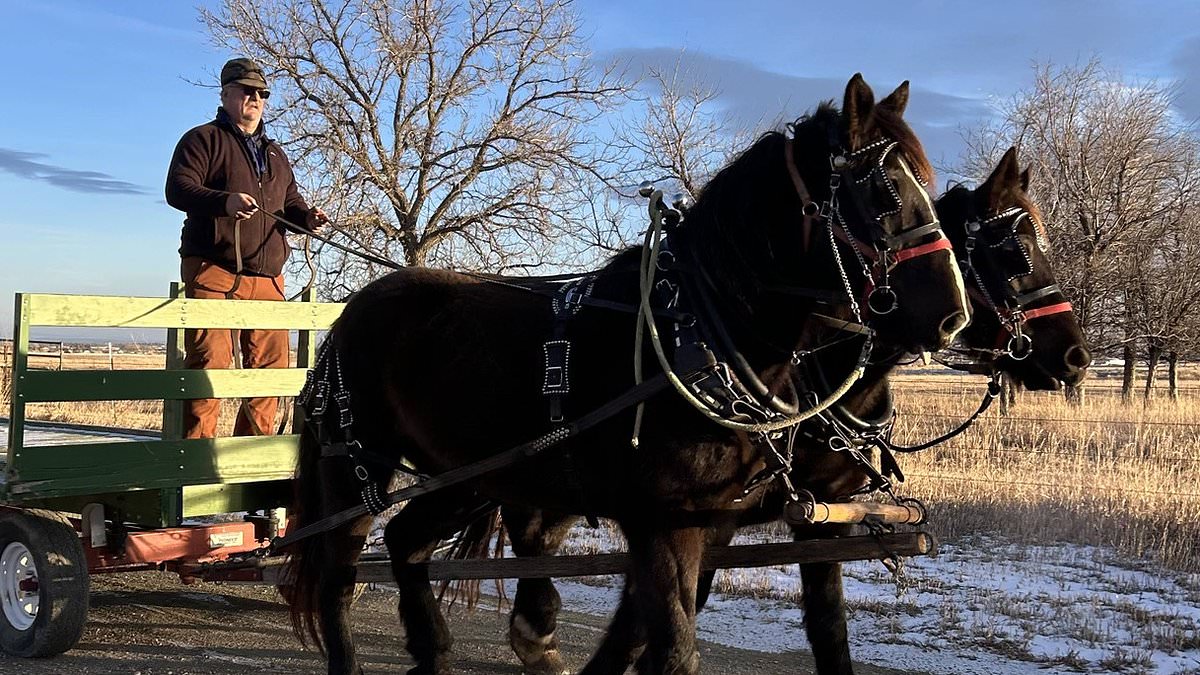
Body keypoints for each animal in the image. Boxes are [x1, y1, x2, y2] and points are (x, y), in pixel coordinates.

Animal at [284, 74, 970, 675]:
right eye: (882, 190)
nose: (951, 317)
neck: (695, 330)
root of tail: (351, 311)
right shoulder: (661, 523)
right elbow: (673, 648)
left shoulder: (712, 521)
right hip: (358, 466)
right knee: (338, 577)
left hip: (470, 474)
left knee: (407, 543)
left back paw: (436, 652)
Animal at [481, 146, 1091, 675]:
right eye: (1012, 252)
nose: (1076, 356)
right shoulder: (703, 516)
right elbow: (656, 615)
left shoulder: (807, 515)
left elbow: (809, 621)